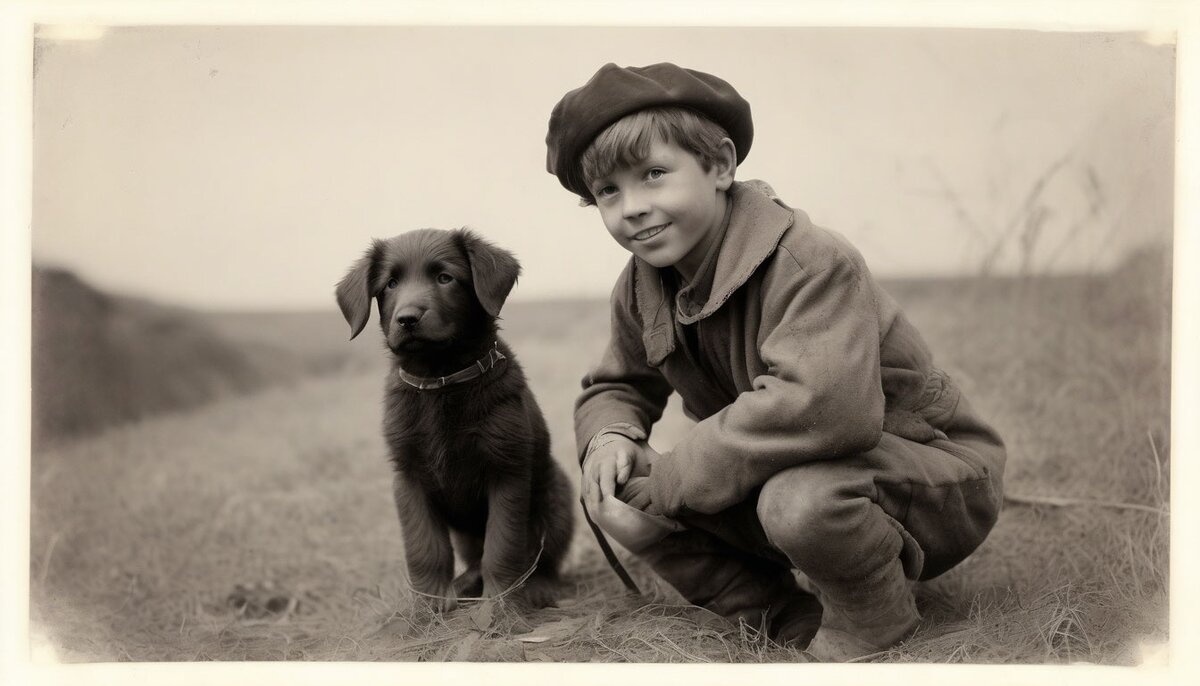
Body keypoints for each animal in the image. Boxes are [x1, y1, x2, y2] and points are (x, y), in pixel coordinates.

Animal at [338, 230, 576, 611]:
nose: (407, 318)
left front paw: (500, 605)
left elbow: (503, 546)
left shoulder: (507, 470)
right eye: (390, 283)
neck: (441, 380)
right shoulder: (408, 476)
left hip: (558, 494)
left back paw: (538, 586)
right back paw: (462, 584)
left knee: (542, 555)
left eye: (445, 277)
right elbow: (424, 547)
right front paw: (427, 605)